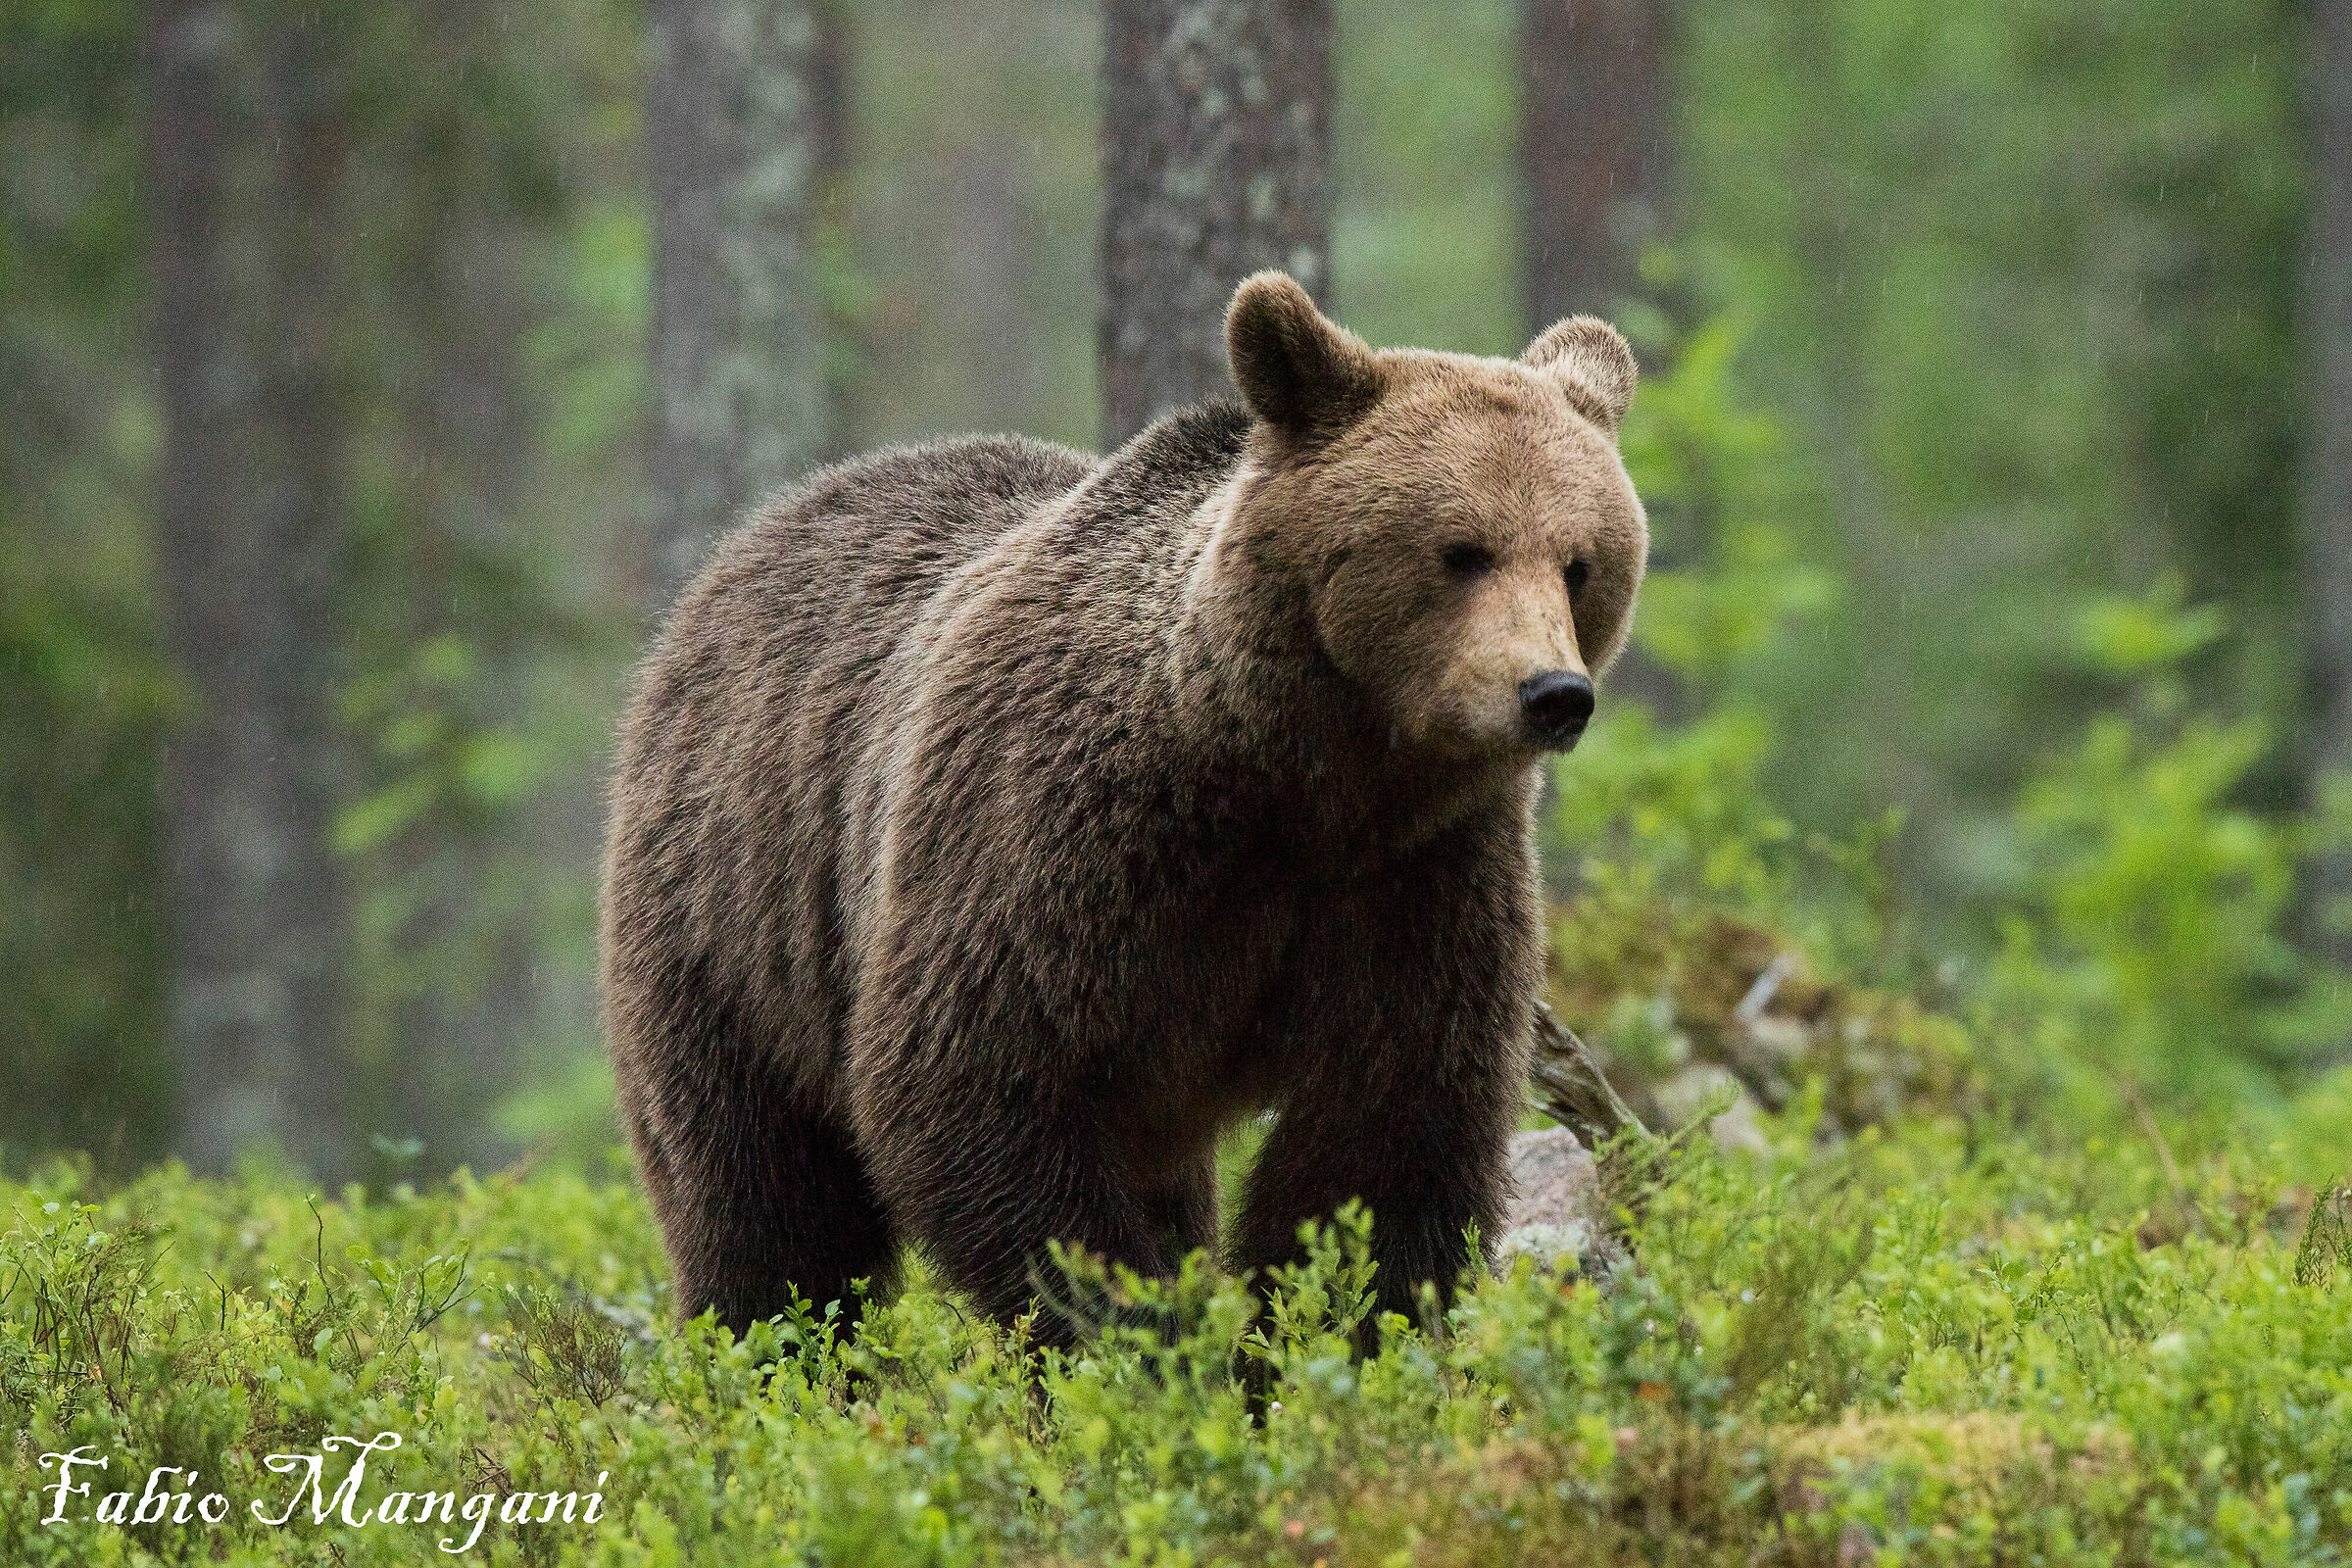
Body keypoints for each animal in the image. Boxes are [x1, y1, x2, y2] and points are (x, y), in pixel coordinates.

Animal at [601, 272, 1647, 1341]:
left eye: (1581, 562)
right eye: (1461, 551)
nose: (1552, 693)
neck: (1296, 775)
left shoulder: (1418, 876)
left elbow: (1386, 1133)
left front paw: (1320, 1335)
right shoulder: (1057, 837)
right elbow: (986, 1089)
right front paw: (1135, 1338)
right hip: (737, 909)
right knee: (767, 1198)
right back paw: (765, 1340)